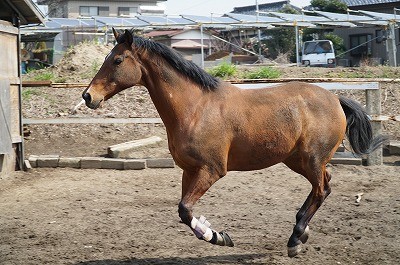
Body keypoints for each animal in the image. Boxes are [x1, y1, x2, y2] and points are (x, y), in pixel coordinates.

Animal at [81, 28, 384, 256]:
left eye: (117, 60)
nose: (88, 96)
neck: (195, 108)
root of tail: (335, 99)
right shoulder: (189, 171)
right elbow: (184, 211)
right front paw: (217, 233)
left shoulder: (212, 170)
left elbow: (184, 208)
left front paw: (218, 237)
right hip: (297, 160)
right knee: (325, 185)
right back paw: (303, 231)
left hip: (310, 159)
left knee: (321, 189)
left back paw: (295, 240)